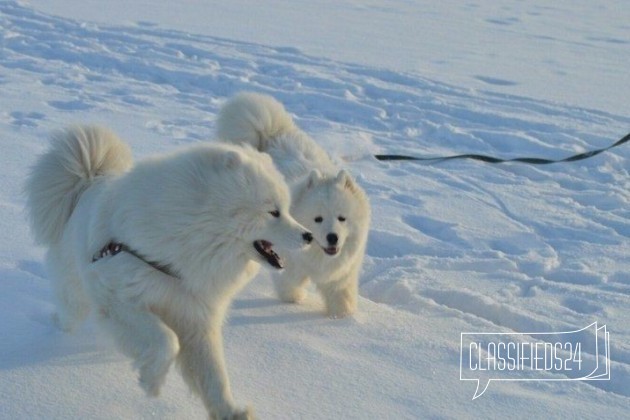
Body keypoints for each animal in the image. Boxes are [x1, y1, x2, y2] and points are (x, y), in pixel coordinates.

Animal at [24, 125, 314, 420]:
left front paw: (231, 412)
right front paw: (151, 381)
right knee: (69, 314)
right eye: (274, 212)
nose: (309, 236)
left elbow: (214, 376)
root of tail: (88, 183)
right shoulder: (118, 298)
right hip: (76, 296)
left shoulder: (196, 317)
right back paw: (52, 328)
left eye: (287, 210)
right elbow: (167, 340)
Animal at [220, 92, 372, 318]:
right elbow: (288, 284)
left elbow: (341, 295)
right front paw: (294, 300)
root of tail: (272, 134)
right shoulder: (290, 263)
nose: (332, 237)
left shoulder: (342, 273)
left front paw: (342, 317)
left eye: (342, 218)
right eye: (318, 219)